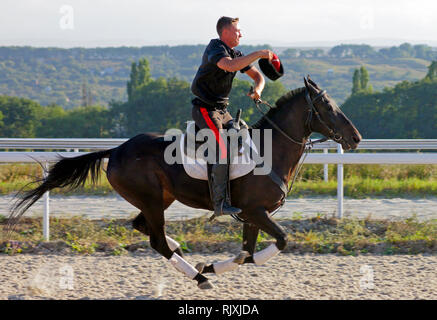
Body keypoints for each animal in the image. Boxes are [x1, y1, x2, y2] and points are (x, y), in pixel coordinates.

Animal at [9, 77, 362, 290]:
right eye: (328, 106)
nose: (356, 138)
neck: (269, 150)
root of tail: (118, 150)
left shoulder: (252, 215)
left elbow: (247, 253)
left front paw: (213, 265)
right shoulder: (255, 212)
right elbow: (281, 241)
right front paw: (208, 270)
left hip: (159, 200)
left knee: (143, 227)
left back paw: (186, 254)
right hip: (152, 200)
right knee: (157, 241)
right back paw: (197, 276)